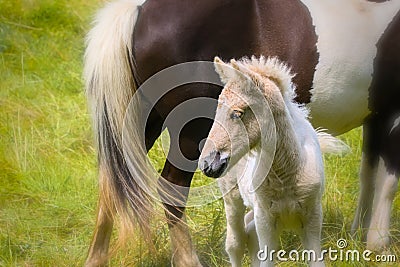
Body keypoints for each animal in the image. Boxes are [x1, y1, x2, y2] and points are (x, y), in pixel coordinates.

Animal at [200, 56, 346, 266]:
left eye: (238, 113)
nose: (207, 164)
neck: (285, 175)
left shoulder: (313, 216)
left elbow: (315, 260)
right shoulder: (265, 219)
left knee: (249, 234)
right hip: (232, 195)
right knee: (235, 243)